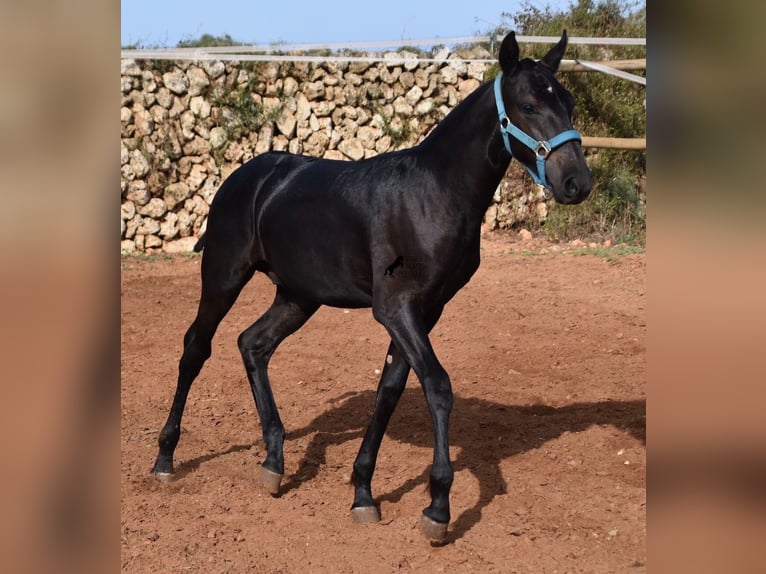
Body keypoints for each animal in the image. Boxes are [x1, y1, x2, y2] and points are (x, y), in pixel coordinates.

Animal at [152, 32, 592, 544]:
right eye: (528, 104)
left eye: (568, 102)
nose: (577, 183)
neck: (434, 195)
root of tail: (248, 177)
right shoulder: (396, 308)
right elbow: (437, 386)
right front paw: (438, 507)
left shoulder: (427, 309)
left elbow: (391, 388)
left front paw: (363, 491)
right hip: (224, 277)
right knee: (195, 348)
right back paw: (165, 459)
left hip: (298, 296)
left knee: (252, 345)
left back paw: (274, 462)